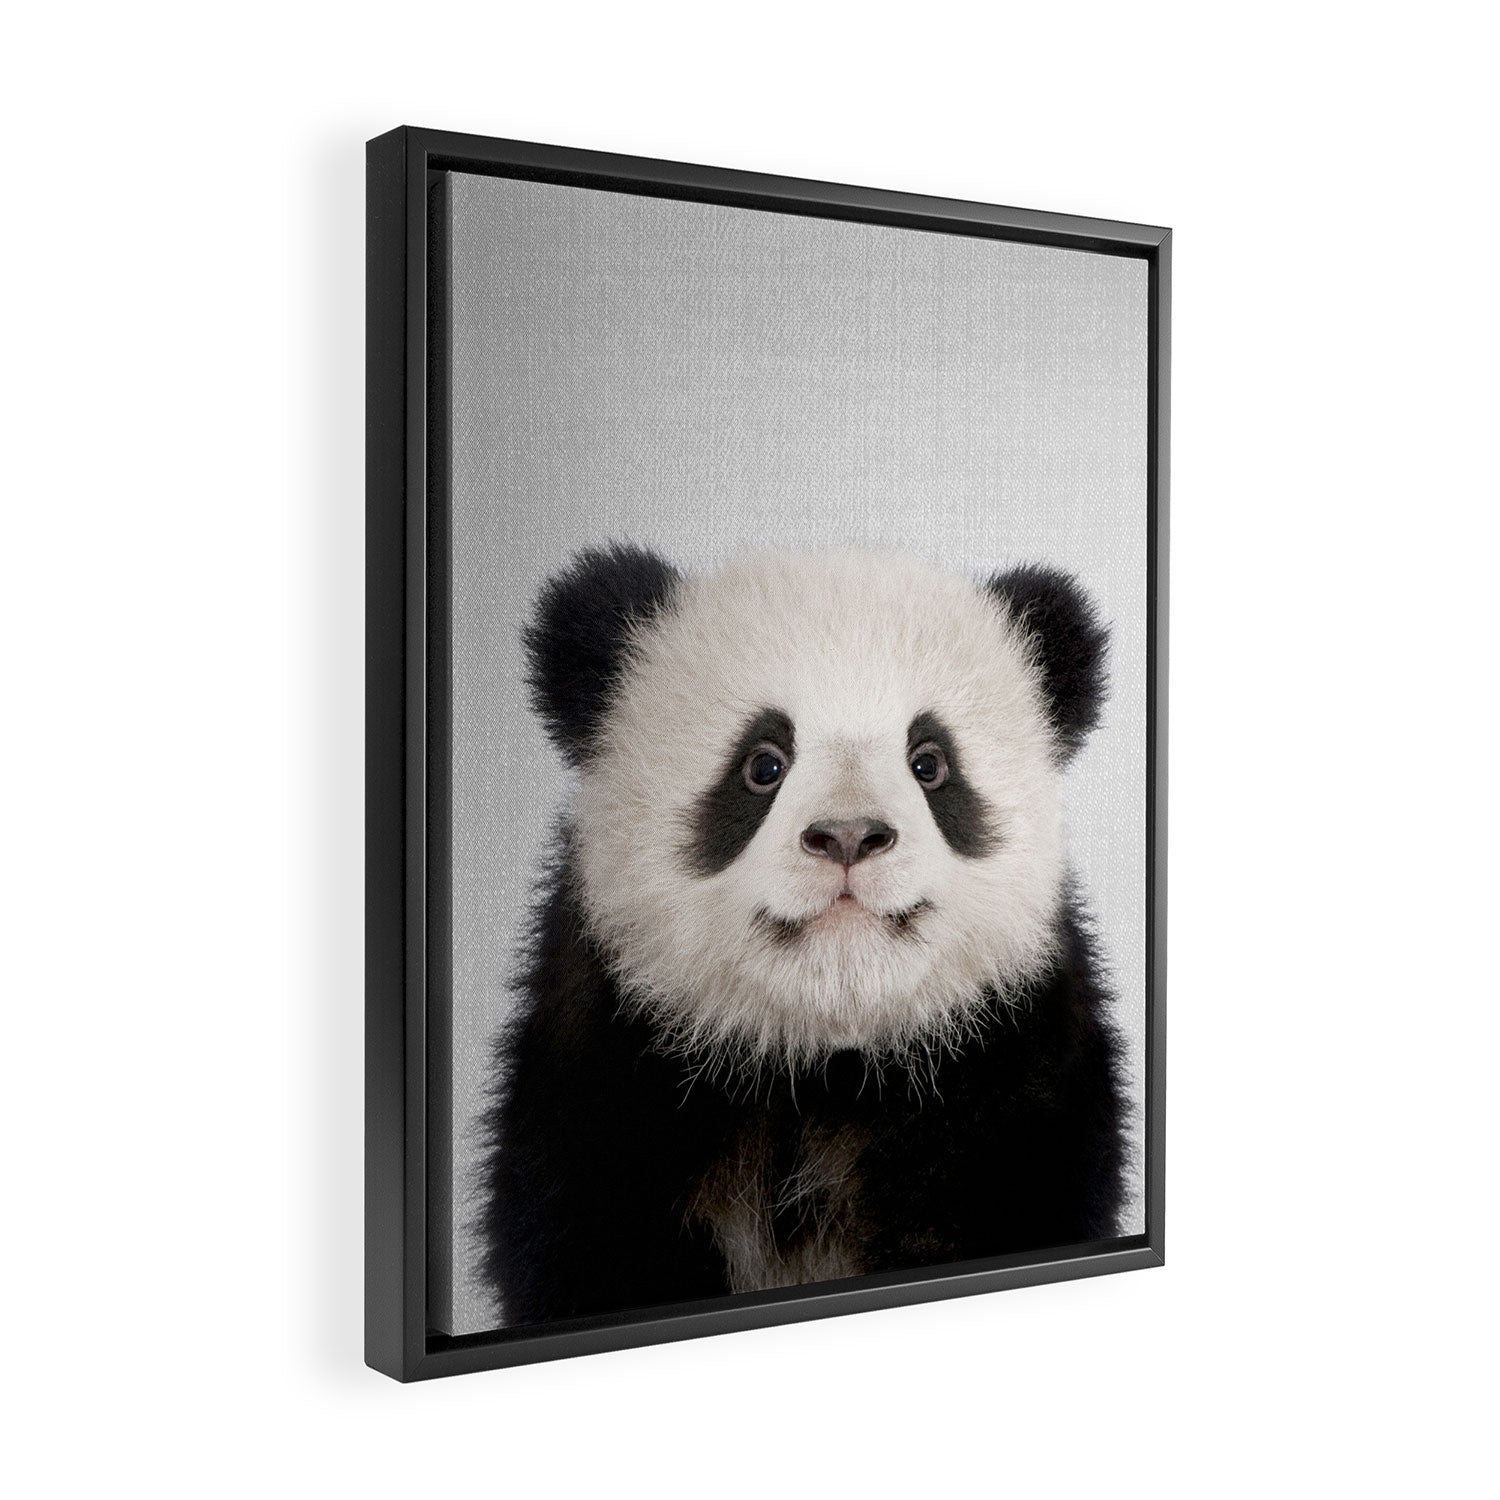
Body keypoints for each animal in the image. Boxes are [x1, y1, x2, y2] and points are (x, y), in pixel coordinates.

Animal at [477, 544, 1128, 1325]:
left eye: (929, 763)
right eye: (763, 764)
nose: (849, 836)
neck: (820, 1066)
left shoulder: (1012, 1070)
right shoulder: (606, 1073)